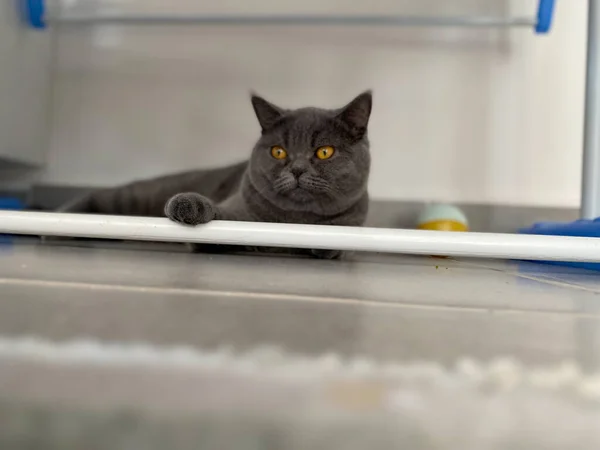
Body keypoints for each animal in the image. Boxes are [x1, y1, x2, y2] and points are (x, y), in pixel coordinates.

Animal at [59, 91, 370, 258]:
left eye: (324, 152)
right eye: (279, 151)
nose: (296, 168)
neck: (293, 221)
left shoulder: (355, 222)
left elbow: (342, 233)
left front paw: (327, 242)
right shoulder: (236, 213)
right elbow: (219, 219)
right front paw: (187, 205)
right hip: (133, 197)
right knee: (97, 197)